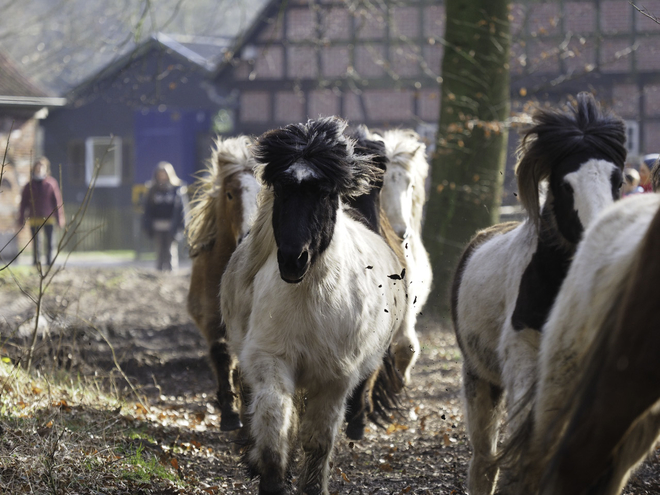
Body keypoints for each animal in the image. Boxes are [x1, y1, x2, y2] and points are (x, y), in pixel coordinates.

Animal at [222, 117, 408, 495]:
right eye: (281, 188)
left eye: (323, 192)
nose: (294, 260)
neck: (309, 300)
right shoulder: (272, 359)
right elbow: (275, 419)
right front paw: (271, 478)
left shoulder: (335, 378)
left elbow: (319, 440)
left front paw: (311, 485)